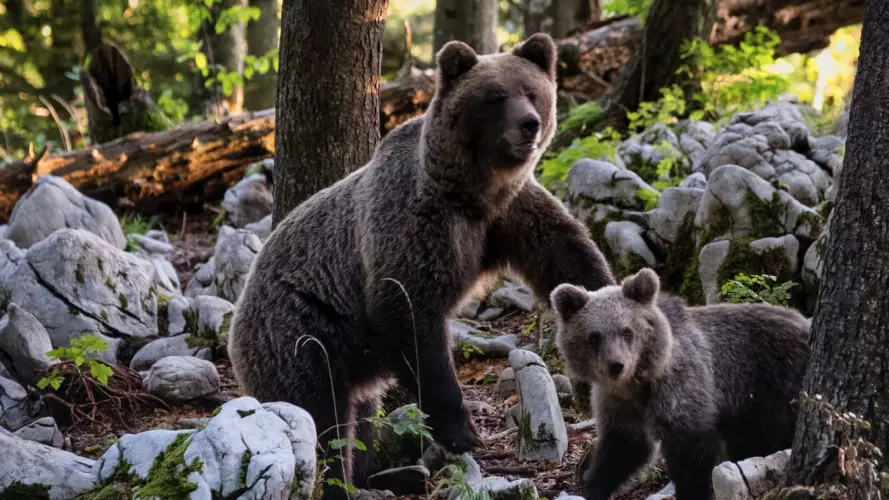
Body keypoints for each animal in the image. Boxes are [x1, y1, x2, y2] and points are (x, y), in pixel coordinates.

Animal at [228, 32, 615, 500]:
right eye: (495, 96)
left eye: (532, 91)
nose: (529, 124)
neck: (472, 192)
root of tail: (240, 310)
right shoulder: (414, 223)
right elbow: (411, 314)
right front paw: (461, 430)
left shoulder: (510, 214)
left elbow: (566, 254)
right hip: (301, 330)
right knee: (319, 416)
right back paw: (341, 480)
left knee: (359, 415)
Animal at [550, 268, 810, 500]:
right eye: (594, 336)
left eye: (627, 331)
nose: (616, 365)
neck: (638, 383)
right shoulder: (618, 403)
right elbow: (623, 448)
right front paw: (595, 487)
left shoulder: (682, 385)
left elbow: (691, 451)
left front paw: (692, 492)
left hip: (777, 385)